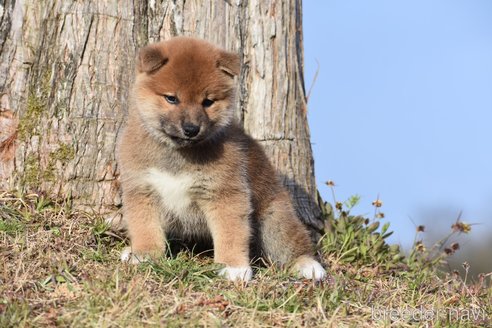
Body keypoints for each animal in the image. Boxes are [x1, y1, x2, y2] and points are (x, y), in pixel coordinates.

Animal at [117, 36, 326, 282]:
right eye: (171, 98)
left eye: (208, 102)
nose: (191, 129)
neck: (178, 154)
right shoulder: (142, 189)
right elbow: (145, 228)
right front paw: (144, 254)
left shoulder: (225, 193)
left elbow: (231, 233)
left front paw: (234, 267)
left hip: (274, 220)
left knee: (292, 243)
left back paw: (308, 265)